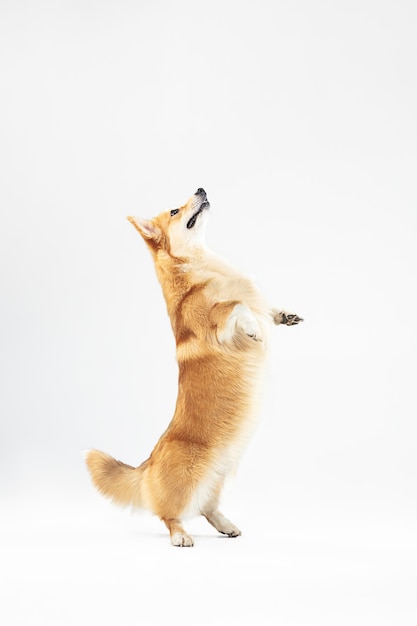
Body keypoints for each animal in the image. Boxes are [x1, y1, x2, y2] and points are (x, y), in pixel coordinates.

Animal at [85, 188, 302, 544]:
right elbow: (236, 306)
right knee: (168, 513)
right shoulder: (218, 323)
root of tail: (147, 465)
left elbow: (261, 307)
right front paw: (254, 328)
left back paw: (226, 525)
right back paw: (180, 536)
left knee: (206, 507)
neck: (204, 266)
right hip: (189, 478)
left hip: (219, 478)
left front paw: (283, 316)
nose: (201, 189)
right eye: (175, 210)